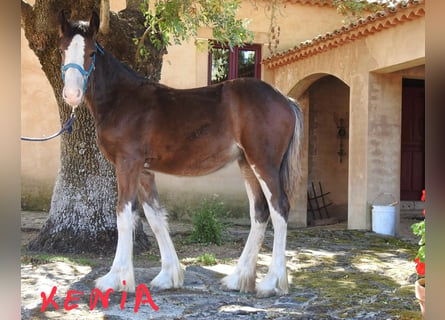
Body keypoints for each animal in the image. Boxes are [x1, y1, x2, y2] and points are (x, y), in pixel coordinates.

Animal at [58, 10, 302, 300]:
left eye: (92, 52)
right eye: (62, 50)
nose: (72, 95)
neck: (121, 100)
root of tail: (286, 100)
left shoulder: (127, 164)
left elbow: (124, 216)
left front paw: (116, 279)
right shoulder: (144, 171)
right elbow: (155, 217)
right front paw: (168, 276)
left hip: (264, 163)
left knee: (279, 208)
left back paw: (272, 282)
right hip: (246, 164)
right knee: (260, 212)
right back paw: (238, 279)